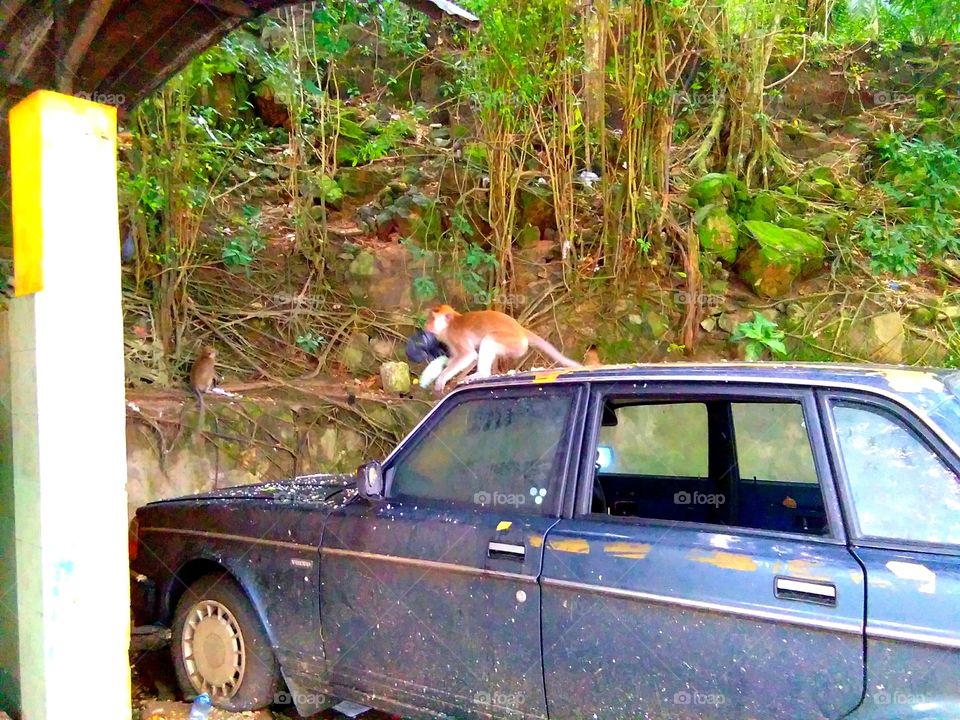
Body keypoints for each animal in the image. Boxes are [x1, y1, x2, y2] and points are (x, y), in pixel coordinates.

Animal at [423, 304, 582, 394]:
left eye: (432, 318)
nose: (427, 324)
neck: (449, 326)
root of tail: (521, 329)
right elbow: (467, 357)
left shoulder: (455, 335)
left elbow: (468, 355)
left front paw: (442, 379)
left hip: (513, 343)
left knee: (488, 340)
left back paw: (482, 374)